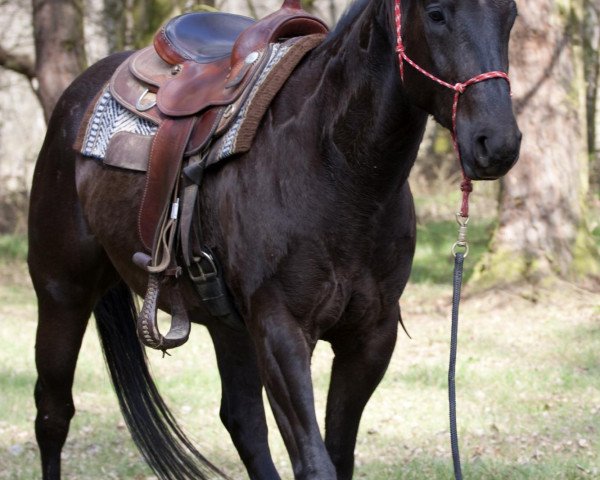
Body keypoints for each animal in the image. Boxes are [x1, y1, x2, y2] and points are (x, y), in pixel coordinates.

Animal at [29, 0, 520, 478]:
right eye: (436, 14)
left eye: (510, 14)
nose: (497, 143)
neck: (337, 169)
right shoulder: (281, 333)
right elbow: (316, 462)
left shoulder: (370, 338)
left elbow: (337, 454)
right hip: (62, 294)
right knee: (53, 413)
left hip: (227, 325)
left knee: (242, 422)